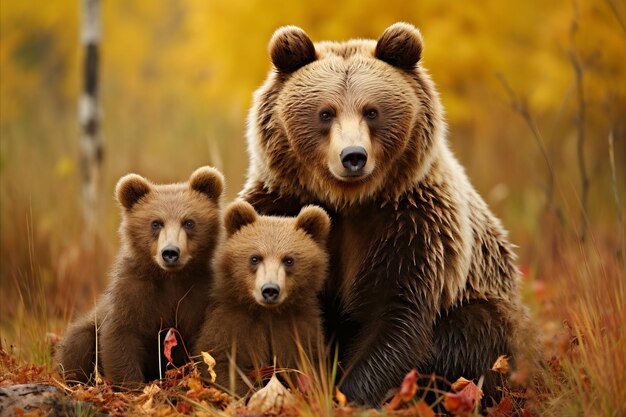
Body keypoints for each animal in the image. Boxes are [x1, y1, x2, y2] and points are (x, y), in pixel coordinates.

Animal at [239, 22, 528, 404]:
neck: (348, 201)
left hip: (487, 303)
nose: (353, 155)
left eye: (371, 111)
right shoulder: (280, 204)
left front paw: (349, 395)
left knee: (476, 333)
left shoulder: (412, 227)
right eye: (326, 112)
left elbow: (395, 313)